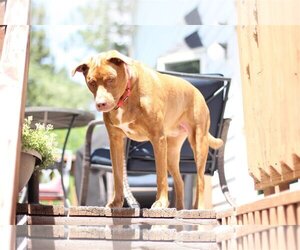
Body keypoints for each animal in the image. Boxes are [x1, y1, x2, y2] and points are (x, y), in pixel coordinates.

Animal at [72, 50, 223, 209]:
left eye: (111, 79)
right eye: (91, 82)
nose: (100, 104)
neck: (128, 94)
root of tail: (196, 91)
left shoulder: (157, 138)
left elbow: (161, 176)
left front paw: (161, 202)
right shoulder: (115, 141)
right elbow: (118, 175)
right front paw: (116, 202)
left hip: (198, 144)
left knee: (200, 180)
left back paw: (199, 207)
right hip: (171, 152)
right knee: (180, 181)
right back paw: (180, 209)